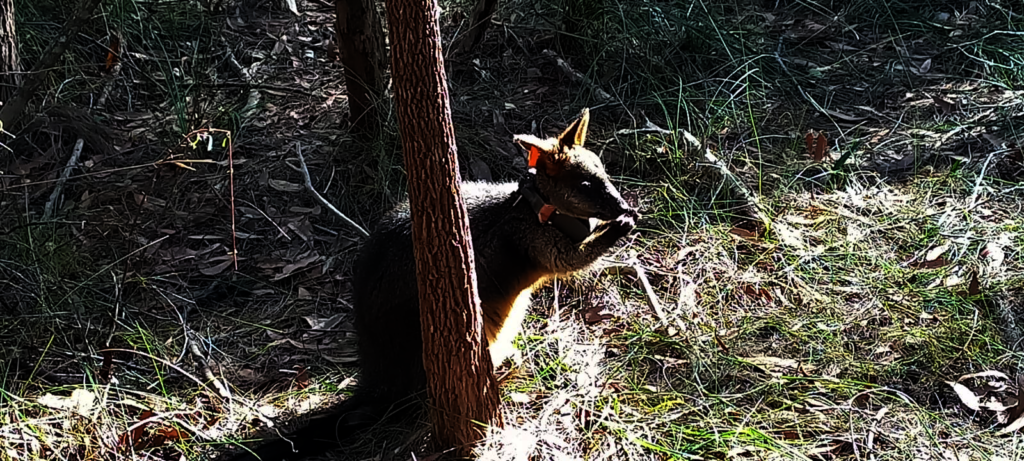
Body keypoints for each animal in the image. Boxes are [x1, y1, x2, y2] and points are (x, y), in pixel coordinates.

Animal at [228, 108, 637, 461]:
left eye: (603, 172)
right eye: (585, 184)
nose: (622, 207)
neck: (533, 209)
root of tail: (378, 379)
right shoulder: (534, 242)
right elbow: (572, 259)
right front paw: (619, 227)